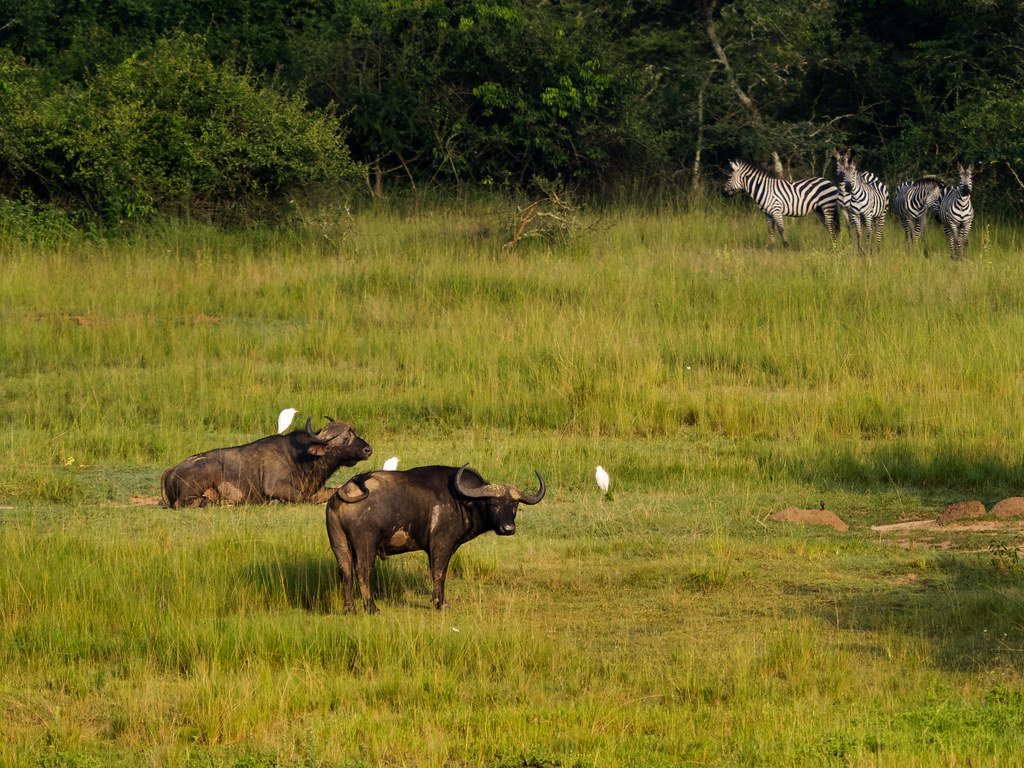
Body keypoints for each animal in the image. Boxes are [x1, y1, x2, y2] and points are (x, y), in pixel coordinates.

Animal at [161, 417, 372, 508]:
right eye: (346, 437)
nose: (368, 450)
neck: (303, 459)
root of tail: (172, 469)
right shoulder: (275, 487)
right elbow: (302, 498)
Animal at [326, 465, 546, 613]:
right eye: (493, 503)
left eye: (514, 506)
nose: (508, 528)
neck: (463, 501)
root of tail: (344, 491)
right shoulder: (442, 544)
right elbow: (440, 572)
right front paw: (441, 603)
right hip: (366, 543)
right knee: (363, 571)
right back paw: (372, 607)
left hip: (339, 543)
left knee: (345, 571)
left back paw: (349, 609)